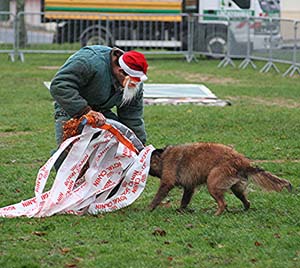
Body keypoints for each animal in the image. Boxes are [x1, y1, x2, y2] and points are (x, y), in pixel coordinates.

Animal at [149, 142, 292, 216]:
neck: (163, 157)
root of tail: (242, 161)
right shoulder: (189, 186)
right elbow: (185, 200)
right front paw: (181, 210)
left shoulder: (167, 182)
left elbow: (158, 196)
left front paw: (148, 208)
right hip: (236, 188)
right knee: (246, 201)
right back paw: (243, 209)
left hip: (212, 183)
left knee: (223, 203)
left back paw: (216, 214)